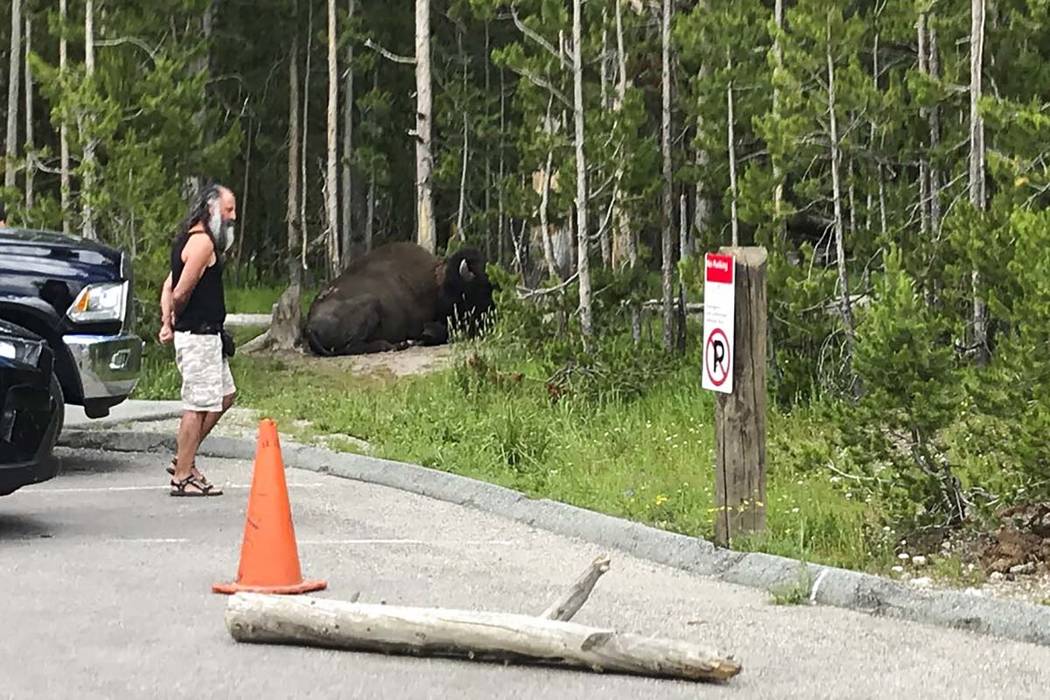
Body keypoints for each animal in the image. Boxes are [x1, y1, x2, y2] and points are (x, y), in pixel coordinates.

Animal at [304, 243, 495, 358]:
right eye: (481, 288)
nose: (491, 315)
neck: (438, 283)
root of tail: (309, 325)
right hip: (371, 304)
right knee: (353, 346)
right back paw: (396, 345)